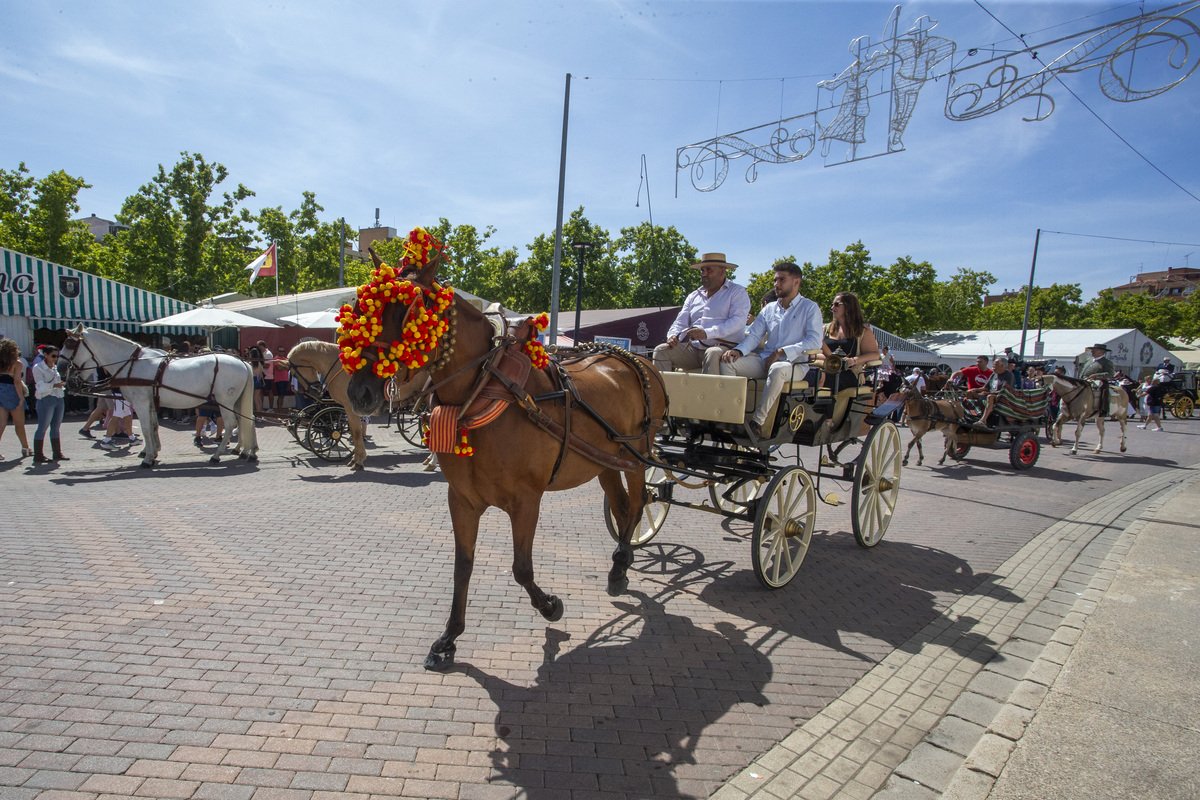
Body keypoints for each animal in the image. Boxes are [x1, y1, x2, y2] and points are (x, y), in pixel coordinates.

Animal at [61, 321, 258, 465]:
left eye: (70, 343)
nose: (64, 373)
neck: (131, 364)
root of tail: (242, 362)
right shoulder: (150, 402)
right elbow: (154, 426)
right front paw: (153, 452)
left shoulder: (140, 403)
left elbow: (146, 428)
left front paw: (148, 458)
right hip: (236, 401)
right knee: (246, 420)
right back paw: (246, 451)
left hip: (226, 401)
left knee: (231, 423)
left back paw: (218, 455)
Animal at [345, 244, 667, 671]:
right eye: (360, 307)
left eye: (409, 310)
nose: (359, 392)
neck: (485, 390)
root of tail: (638, 360)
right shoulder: (462, 500)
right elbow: (462, 567)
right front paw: (448, 639)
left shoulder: (526, 501)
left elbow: (521, 568)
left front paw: (549, 605)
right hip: (607, 461)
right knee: (622, 505)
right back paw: (619, 567)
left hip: (639, 453)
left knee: (639, 501)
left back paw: (621, 563)